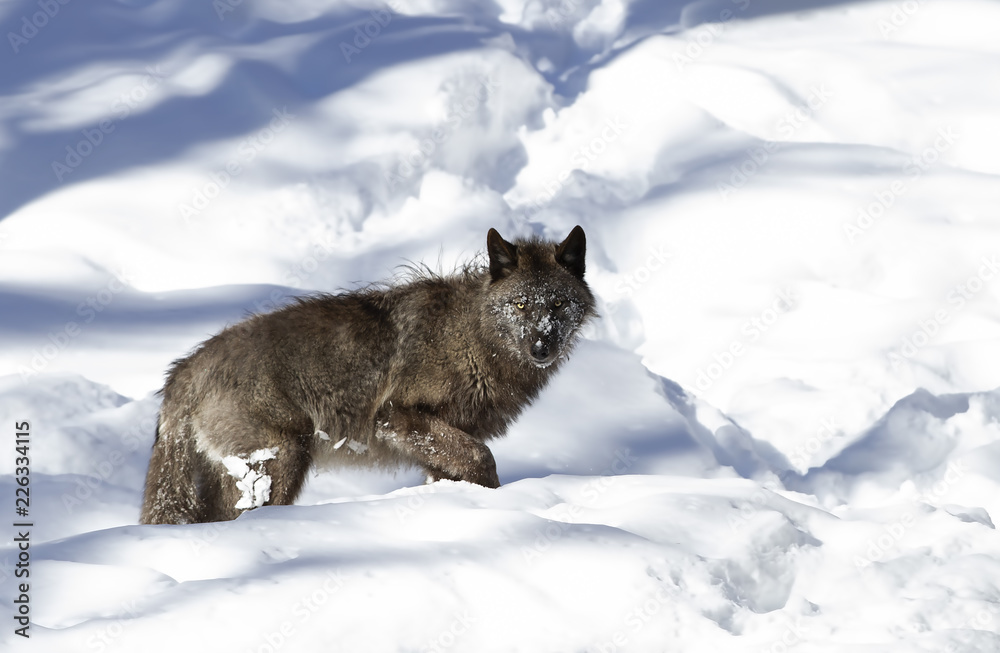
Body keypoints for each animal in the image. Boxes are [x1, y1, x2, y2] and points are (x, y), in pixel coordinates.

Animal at [140, 226, 595, 524]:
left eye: (557, 304)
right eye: (520, 305)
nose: (541, 348)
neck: (470, 336)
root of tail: (187, 368)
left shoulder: (441, 441)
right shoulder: (396, 417)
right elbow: (483, 459)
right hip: (286, 459)